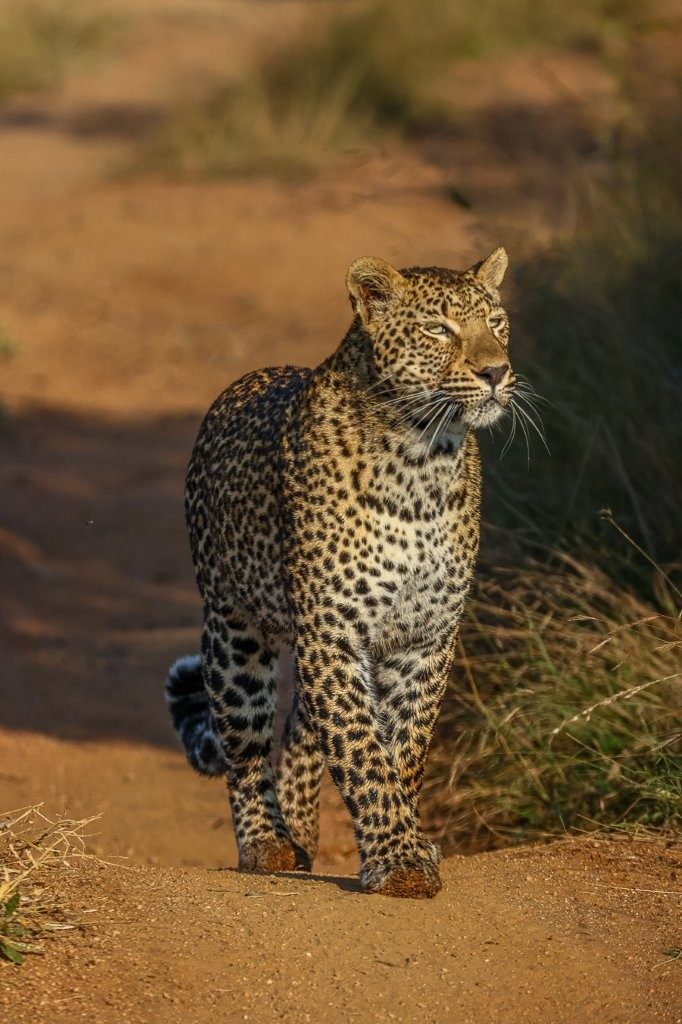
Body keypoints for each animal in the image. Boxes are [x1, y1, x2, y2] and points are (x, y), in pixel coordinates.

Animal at [165, 246, 515, 899]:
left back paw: (301, 833)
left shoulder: (426, 636)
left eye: (497, 323)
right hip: (233, 628)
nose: (497, 372)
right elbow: (361, 748)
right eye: (439, 330)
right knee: (244, 744)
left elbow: (402, 749)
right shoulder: (332, 632)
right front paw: (400, 862)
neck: (423, 461)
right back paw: (269, 844)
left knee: (298, 736)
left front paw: (409, 844)